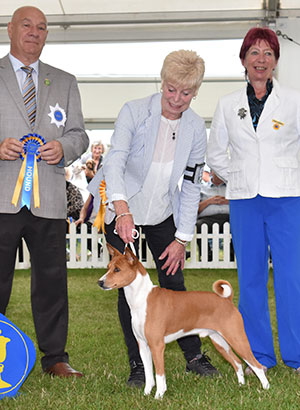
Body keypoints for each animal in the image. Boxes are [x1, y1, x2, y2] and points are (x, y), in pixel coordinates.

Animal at [99, 245, 270, 398]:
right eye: (108, 267)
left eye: (117, 270)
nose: (100, 282)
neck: (141, 299)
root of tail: (226, 300)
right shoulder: (143, 345)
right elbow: (149, 375)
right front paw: (146, 394)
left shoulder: (157, 346)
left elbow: (159, 375)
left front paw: (159, 396)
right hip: (220, 342)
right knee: (238, 363)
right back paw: (241, 386)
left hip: (237, 338)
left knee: (256, 365)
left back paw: (265, 389)